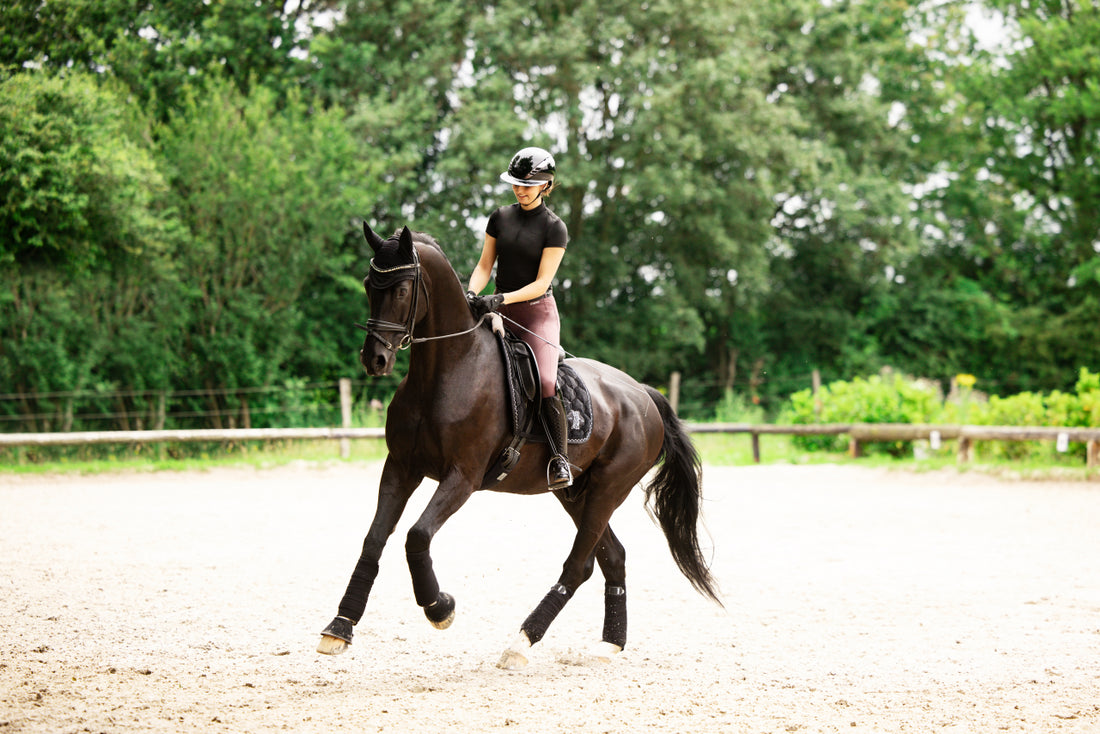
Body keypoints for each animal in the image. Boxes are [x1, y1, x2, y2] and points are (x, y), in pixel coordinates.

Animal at [316, 224, 721, 673]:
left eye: (403, 290)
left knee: (577, 565)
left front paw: (440, 607)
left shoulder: (463, 476)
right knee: (610, 558)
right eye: (369, 285)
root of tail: (643, 394)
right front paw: (339, 626)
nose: (375, 359)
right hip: (576, 492)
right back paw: (609, 643)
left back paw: (522, 641)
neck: (447, 369)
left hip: (609, 488)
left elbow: (417, 535)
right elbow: (374, 538)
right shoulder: (401, 467)